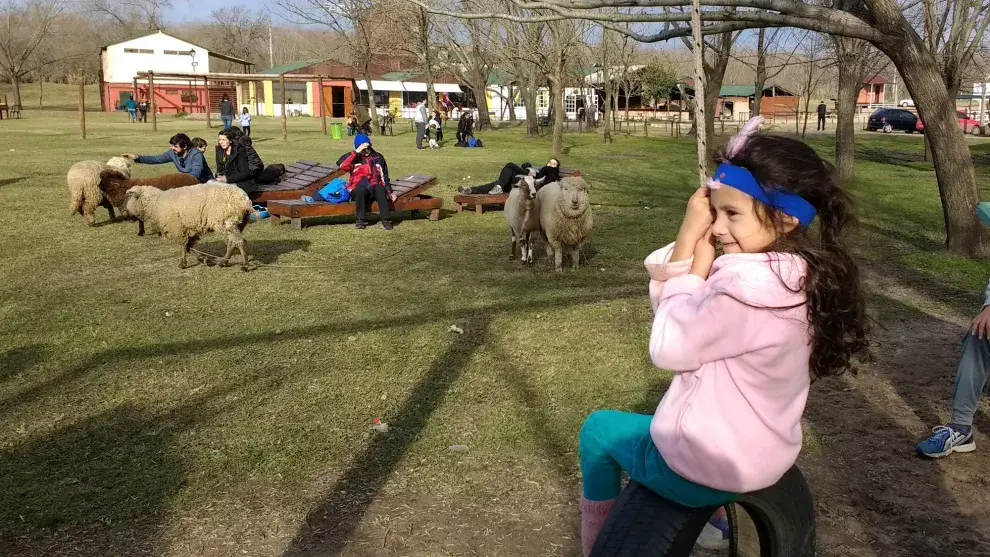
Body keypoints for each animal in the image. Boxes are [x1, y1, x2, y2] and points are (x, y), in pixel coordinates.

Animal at [124, 182, 254, 270]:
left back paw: (244, 265)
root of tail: (245, 201)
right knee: (232, 242)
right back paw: (224, 262)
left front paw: (183, 264)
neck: (156, 204)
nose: (125, 214)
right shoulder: (190, 229)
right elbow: (188, 247)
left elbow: (183, 246)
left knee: (239, 241)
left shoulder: (178, 228)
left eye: (129, 197)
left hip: (225, 222)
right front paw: (203, 259)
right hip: (235, 223)